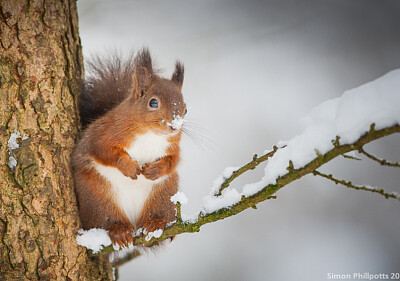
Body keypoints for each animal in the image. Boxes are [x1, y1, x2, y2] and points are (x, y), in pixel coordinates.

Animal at [71, 49, 186, 246]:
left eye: (186, 109)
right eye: (153, 103)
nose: (174, 126)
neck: (150, 135)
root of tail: (133, 221)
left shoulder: (173, 147)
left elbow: (173, 161)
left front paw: (155, 169)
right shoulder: (103, 134)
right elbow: (103, 151)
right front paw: (128, 166)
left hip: (164, 194)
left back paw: (156, 223)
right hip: (97, 195)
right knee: (106, 218)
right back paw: (119, 229)